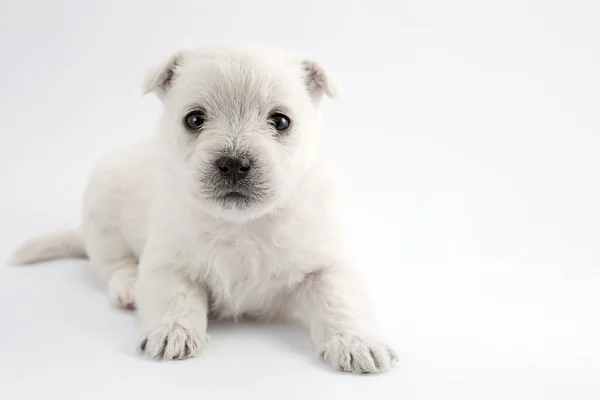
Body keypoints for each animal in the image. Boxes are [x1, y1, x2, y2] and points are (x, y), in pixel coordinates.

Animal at [10, 43, 398, 376]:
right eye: (194, 119)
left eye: (281, 121)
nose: (234, 164)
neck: (243, 225)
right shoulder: (167, 261)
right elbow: (177, 297)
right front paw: (173, 332)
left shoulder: (325, 262)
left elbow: (339, 301)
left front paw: (358, 343)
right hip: (102, 206)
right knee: (111, 263)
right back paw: (128, 286)